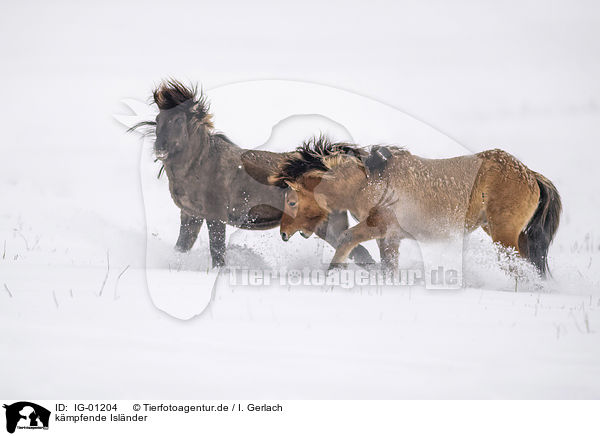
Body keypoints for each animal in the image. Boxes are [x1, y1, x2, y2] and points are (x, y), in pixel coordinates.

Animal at [132, 80, 376, 268]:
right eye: (158, 120)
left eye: (178, 120)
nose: (160, 148)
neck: (200, 165)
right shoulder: (191, 215)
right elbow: (181, 248)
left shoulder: (215, 216)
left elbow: (217, 253)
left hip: (325, 226)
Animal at [268, 137, 564, 276]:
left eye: (292, 201)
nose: (283, 234)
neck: (369, 179)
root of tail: (530, 175)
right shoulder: (390, 237)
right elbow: (388, 265)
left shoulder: (379, 226)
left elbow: (346, 238)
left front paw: (331, 273)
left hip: (503, 236)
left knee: (520, 266)